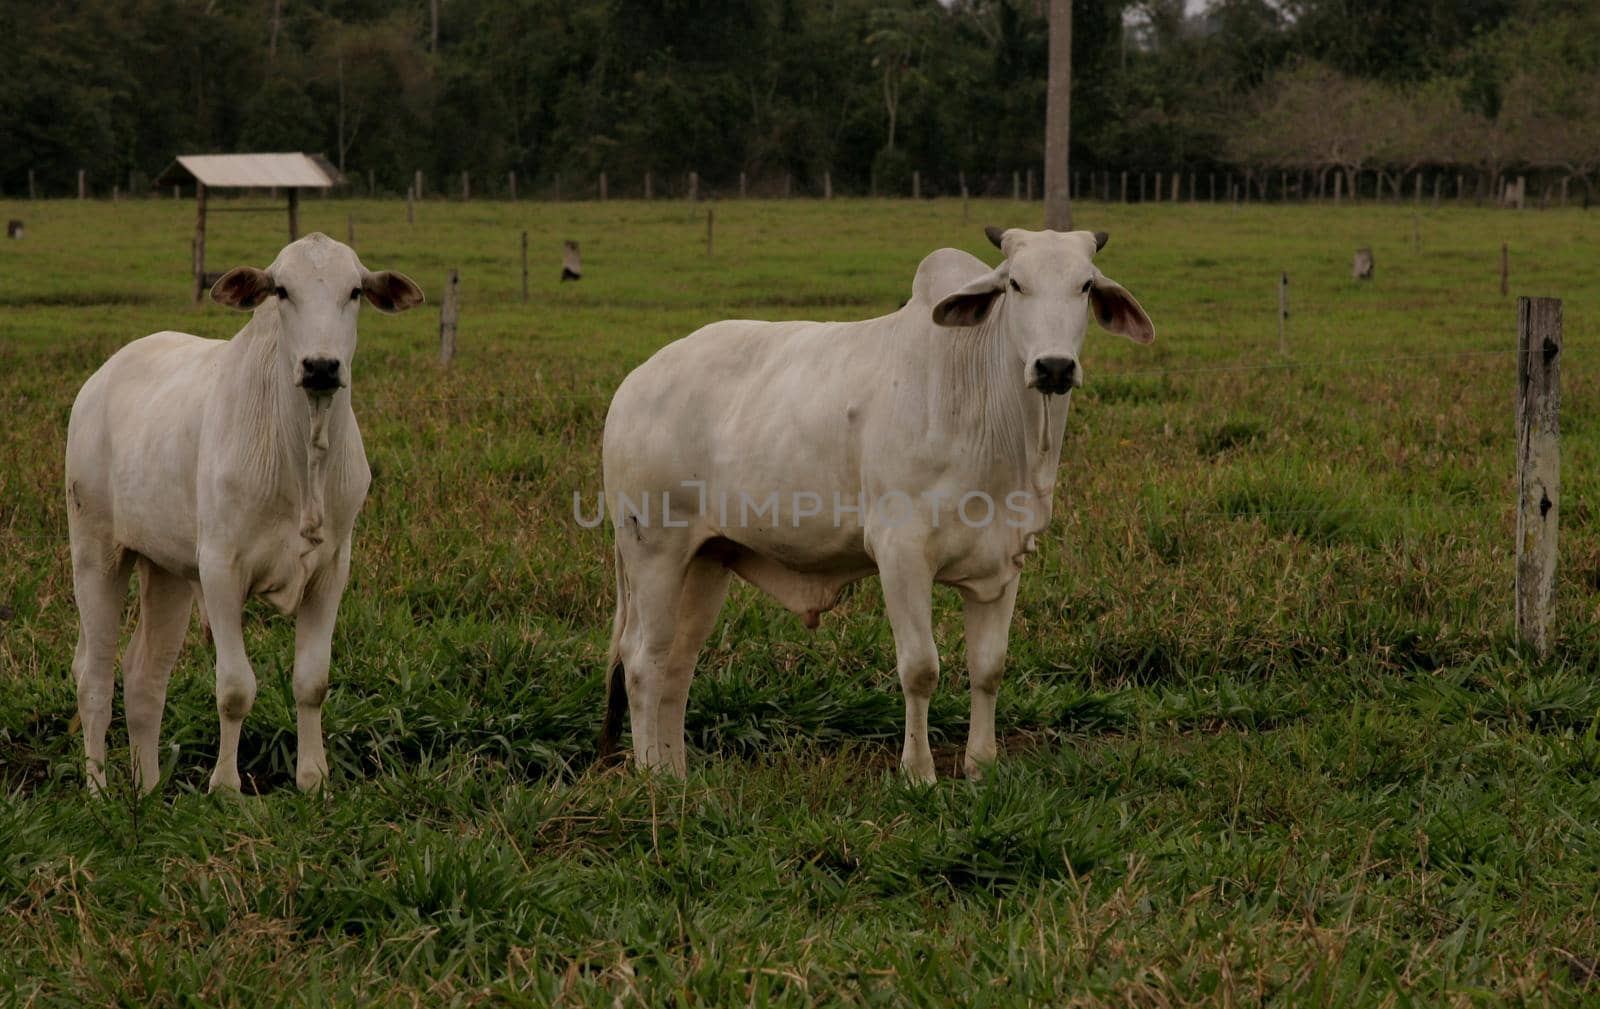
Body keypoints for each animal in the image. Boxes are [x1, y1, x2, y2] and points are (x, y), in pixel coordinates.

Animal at [65, 233, 422, 793]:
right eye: (282, 290)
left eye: (355, 291)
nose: (321, 366)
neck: (303, 454)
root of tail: (101, 378)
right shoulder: (219, 569)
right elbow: (234, 688)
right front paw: (225, 787)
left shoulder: (331, 570)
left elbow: (312, 682)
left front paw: (313, 779)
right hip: (96, 550)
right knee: (94, 676)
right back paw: (100, 792)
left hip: (165, 569)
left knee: (144, 676)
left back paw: (149, 791)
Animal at [598, 227, 1152, 780]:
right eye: (1016, 283)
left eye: (1085, 284)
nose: (1054, 366)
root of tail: (633, 384)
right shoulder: (900, 554)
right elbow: (921, 669)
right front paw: (919, 773)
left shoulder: (1004, 561)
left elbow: (988, 668)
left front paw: (981, 766)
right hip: (654, 552)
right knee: (642, 661)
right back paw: (651, 777)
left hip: (707, 559)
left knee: (678, 663)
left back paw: (675, 775)